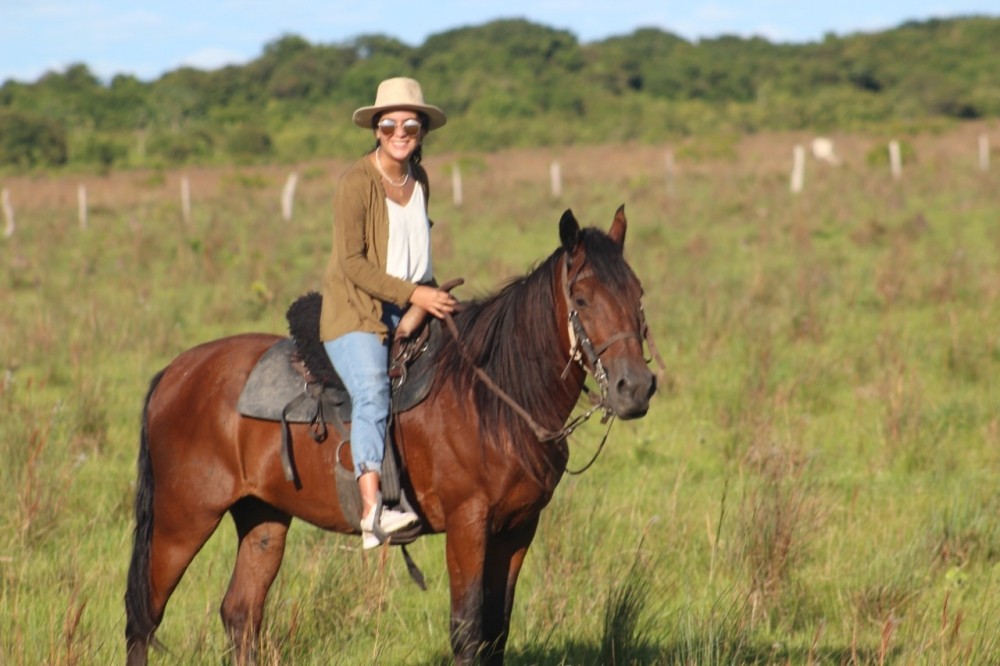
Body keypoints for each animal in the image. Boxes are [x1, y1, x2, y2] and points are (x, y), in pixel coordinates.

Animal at [124, 206, 657, 665]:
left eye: (638, 293)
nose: (635, 387)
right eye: (582, 299)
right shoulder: (468, 525)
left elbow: (497, 631)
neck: (492, 398)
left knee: (241, 613)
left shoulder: (519, 528)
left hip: (263, 519)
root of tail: (174, 373)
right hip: (182, 521)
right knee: (144, 617)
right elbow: (468, 631)